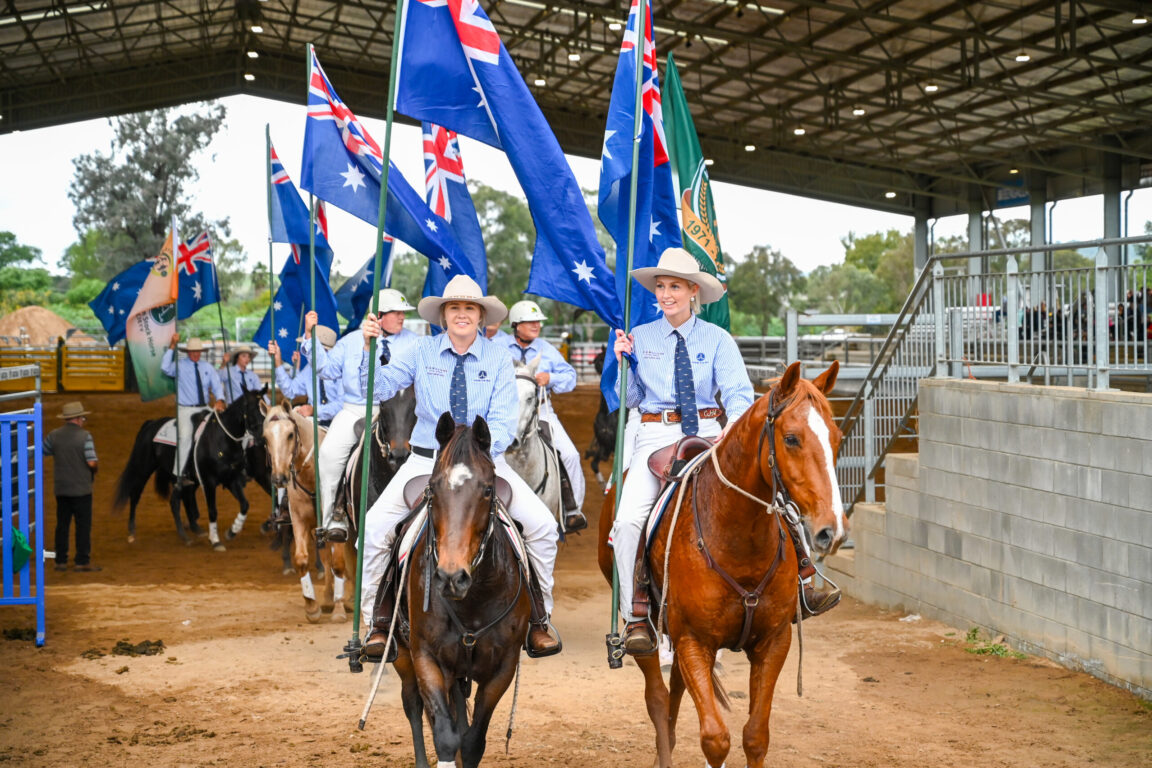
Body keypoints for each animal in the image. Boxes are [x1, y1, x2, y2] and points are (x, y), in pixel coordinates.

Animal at [115, 393, 267, 550]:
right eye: (253, 411)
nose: (262, 438)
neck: (222, 439)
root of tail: (151, 424)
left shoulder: (232, 479)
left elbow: (245, 504)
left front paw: (233, 531)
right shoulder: (211, 482)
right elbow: (213, 510)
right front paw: (216, 540)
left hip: (185, 479)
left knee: (177, 501)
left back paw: (189, 533)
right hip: (144, 468)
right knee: (136, 495)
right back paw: (132, 532)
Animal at [263, 402, 357, 626]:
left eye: (290, 434)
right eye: (265, 437)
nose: (279, 478)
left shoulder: (337, 527)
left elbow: (339, 563)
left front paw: (339, 610)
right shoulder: (301, 521)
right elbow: (303, 560)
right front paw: (312, 607)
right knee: (328, 558)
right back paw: (330, 599)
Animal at [393, 414, 532, 768]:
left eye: (487, 489)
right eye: (433, 488)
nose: (451, 577)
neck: (472, 602)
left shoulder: (502, 668)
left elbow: (471, 742)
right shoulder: (426, 657)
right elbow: (445, 733)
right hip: (402, 654)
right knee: (413, 704)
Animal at [599, 361, 852, 768]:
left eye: (837, 438)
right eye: (791, 439)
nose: (833, 530)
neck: (738, 541)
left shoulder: (772, 642)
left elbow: (756, 736)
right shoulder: (694, 641)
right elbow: (715, 739)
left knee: (675, 689)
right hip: (650, 629)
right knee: (657, 696)